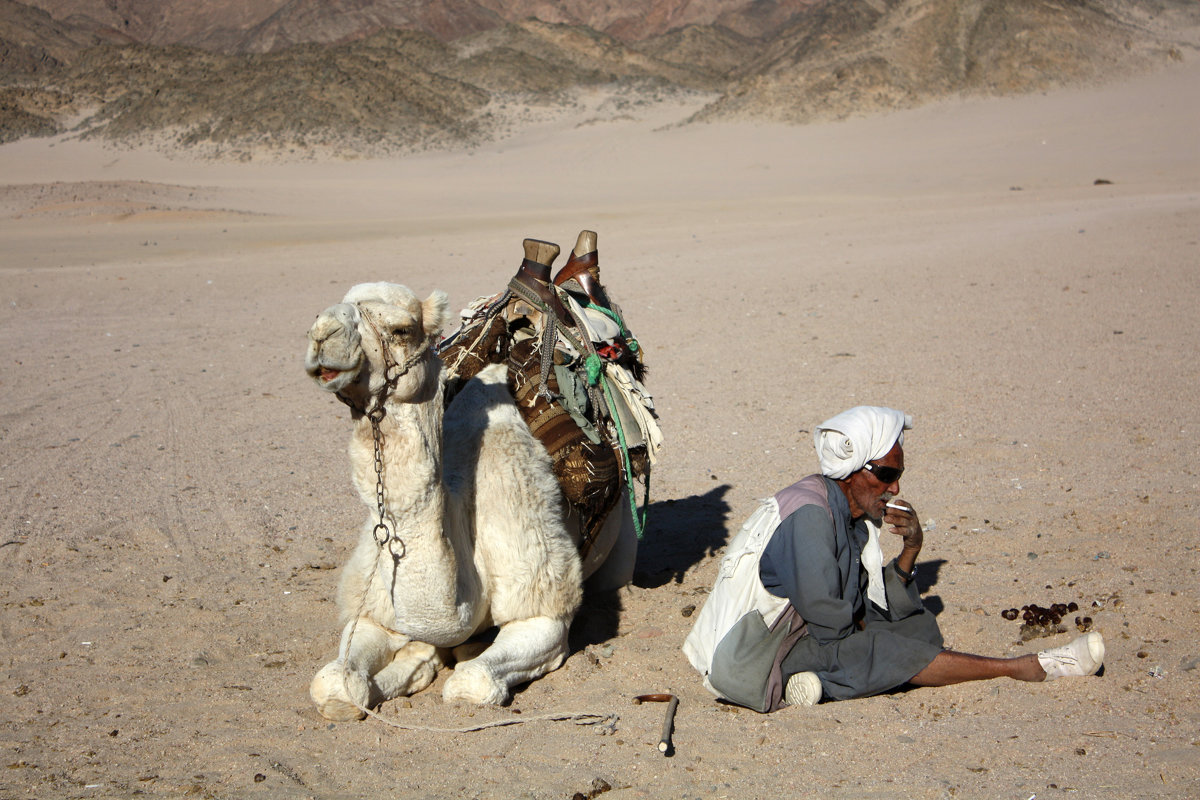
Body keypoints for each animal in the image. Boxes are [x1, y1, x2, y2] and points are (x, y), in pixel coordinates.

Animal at [307, 272, 638, 724]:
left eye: (401, 329)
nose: (323, 333)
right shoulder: (373, 609)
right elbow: (334, 685)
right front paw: (413, 664)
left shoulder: (542, 607)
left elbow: (472, 683)